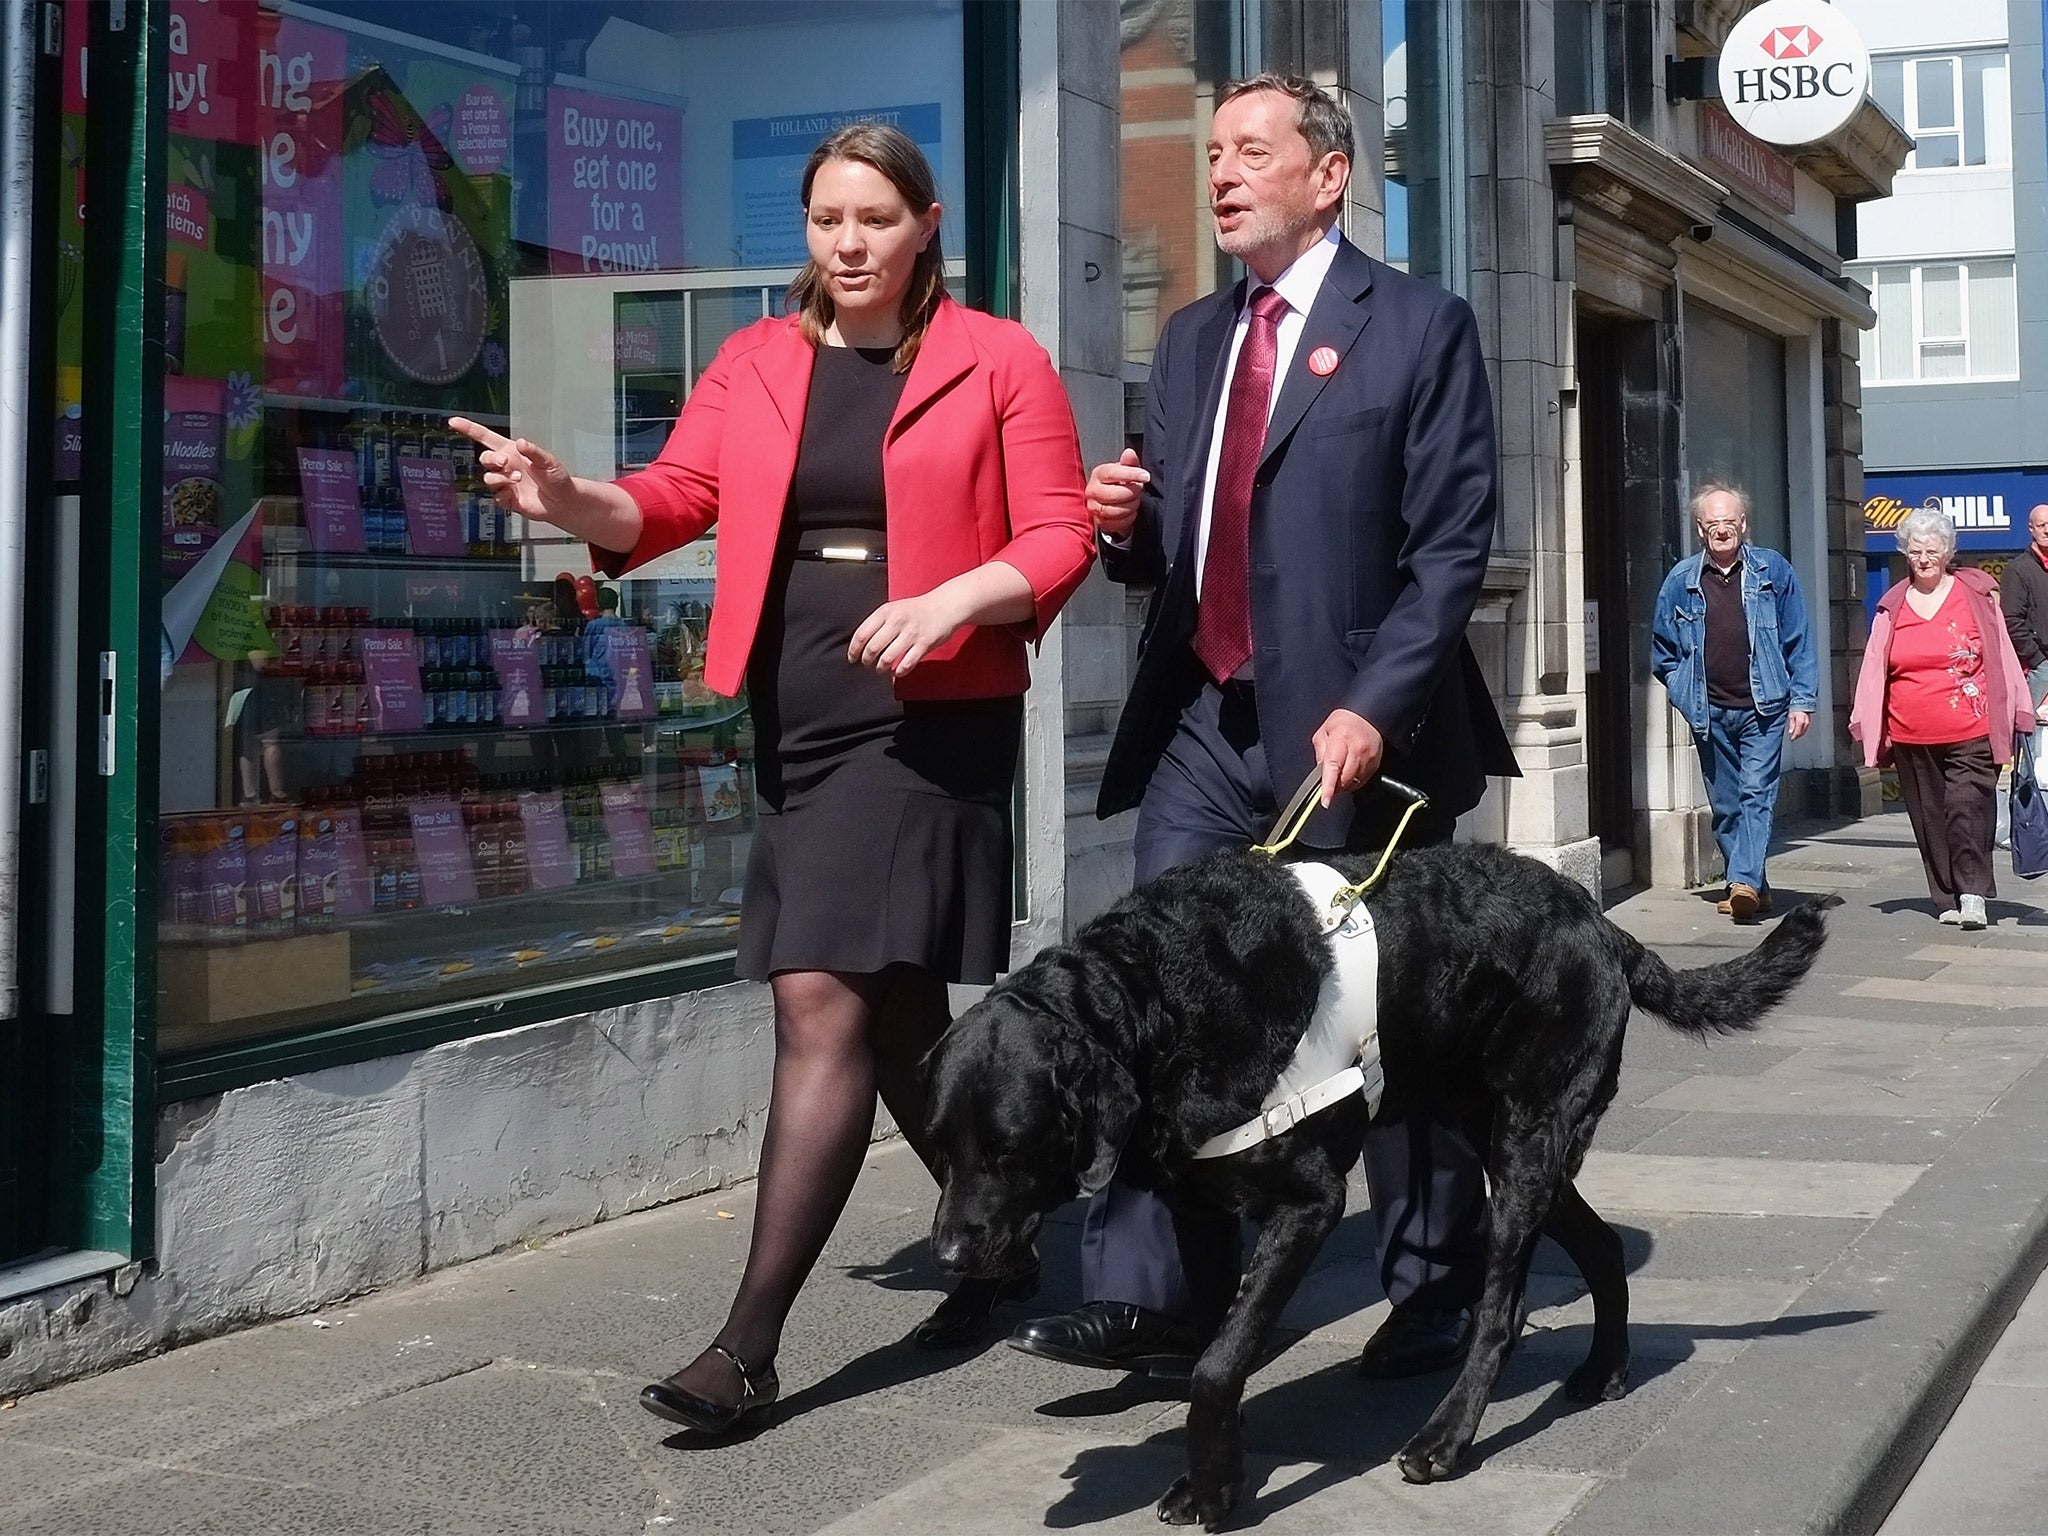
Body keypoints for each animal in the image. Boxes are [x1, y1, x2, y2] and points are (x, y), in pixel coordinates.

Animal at [921, 847, 1835, 1531]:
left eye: (1010, 1148)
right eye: (939, 1144)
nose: (951, 1256)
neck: (1161, 999)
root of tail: (1602, 923)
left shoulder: (1308, 1206)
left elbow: (1218, 1362)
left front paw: (1214, 1492)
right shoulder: (1197, 1206)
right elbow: (1219, 1346)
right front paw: (1218, 1465)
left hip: (1529, 1142)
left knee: (1501, 1308)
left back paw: (1447, 1438)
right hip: (1502, 1132)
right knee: (1604, 1245)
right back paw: (1604, 1369)